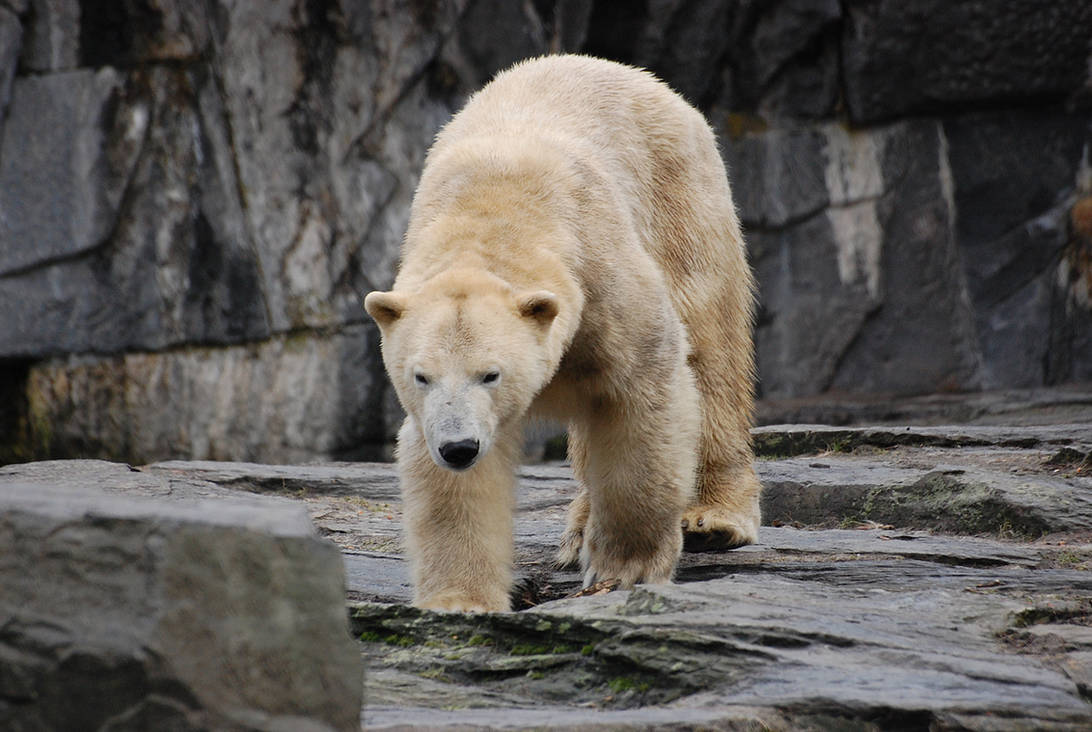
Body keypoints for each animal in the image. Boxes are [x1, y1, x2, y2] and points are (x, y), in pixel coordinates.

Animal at [365, 55, 761, 613]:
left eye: (491, 374)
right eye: (420, 376)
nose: (460, 447)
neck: (493, 208)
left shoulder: (601, 277)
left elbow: (642, 392)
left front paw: (625, 569)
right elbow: (451, 482)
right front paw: (461, 600)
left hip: (681, 203)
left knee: (709, 350)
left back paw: (713, 517)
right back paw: (577, 531)